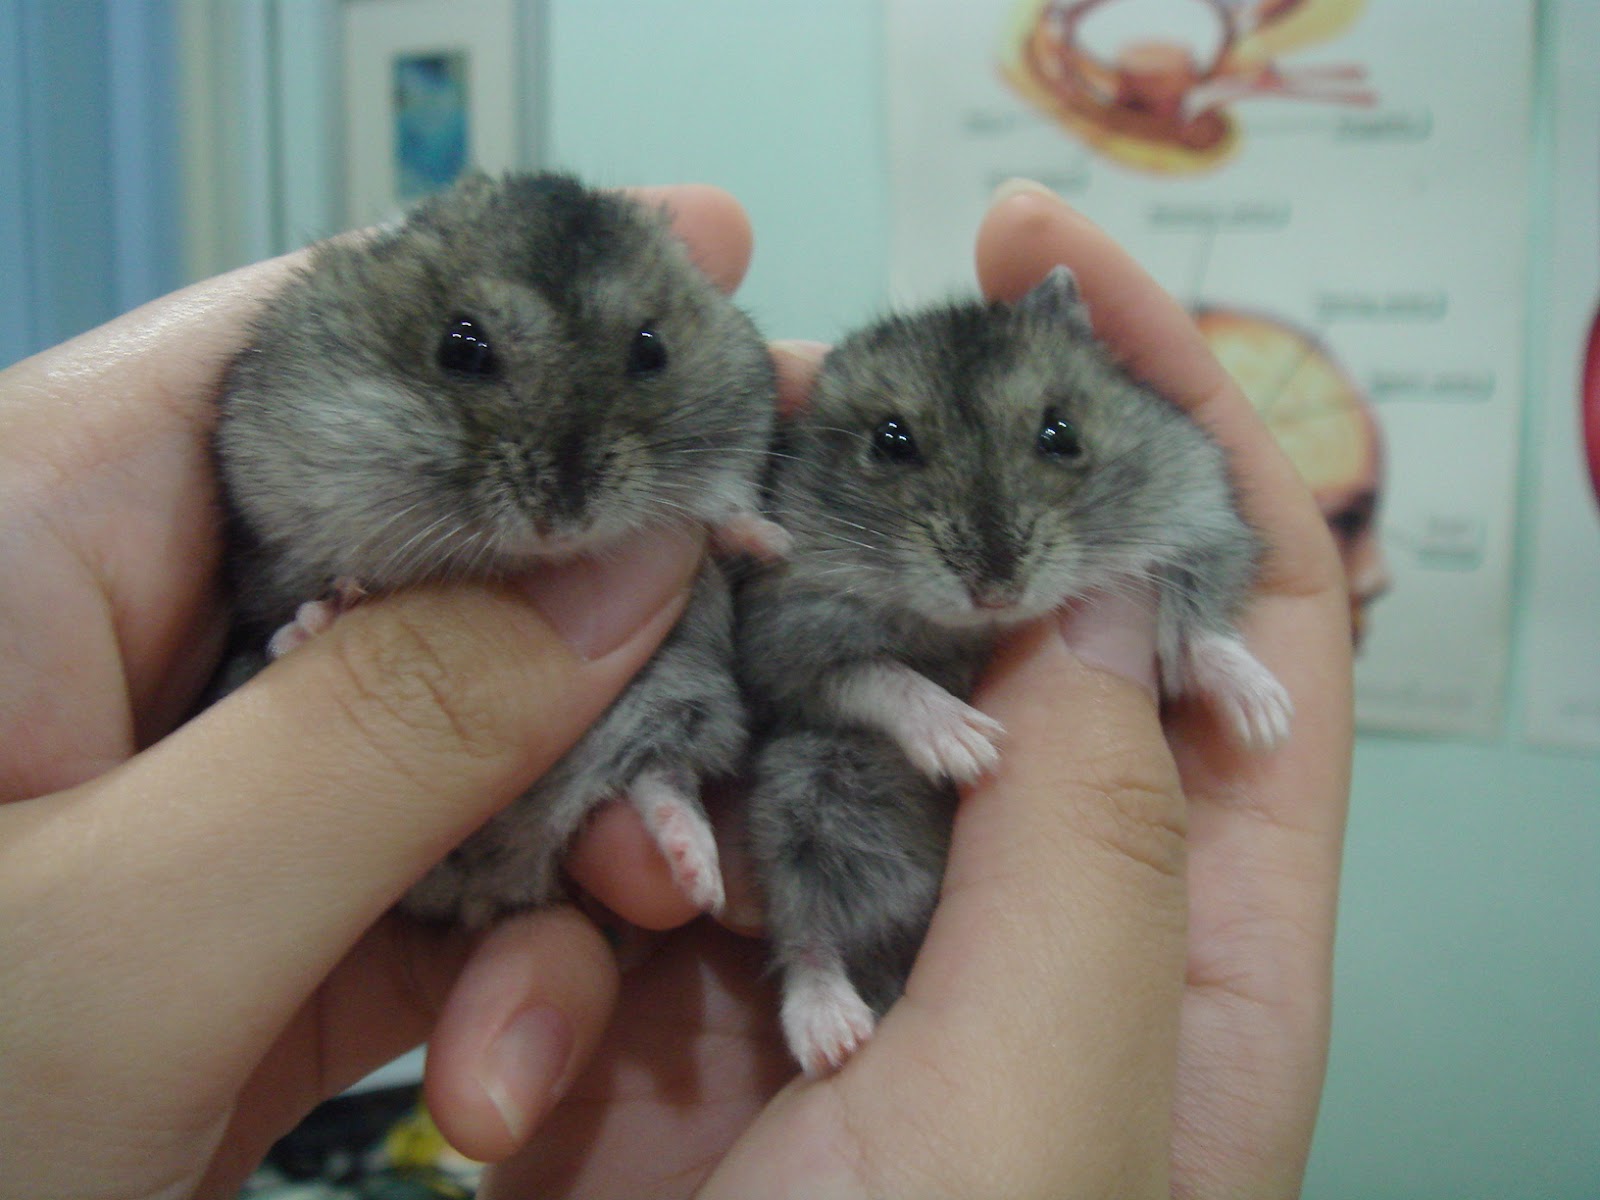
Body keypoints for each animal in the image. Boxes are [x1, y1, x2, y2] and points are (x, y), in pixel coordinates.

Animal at [214, 171, 786, 925]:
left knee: (656, 778)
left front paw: (771, 539)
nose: (565, 520)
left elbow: (723, 511)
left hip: (684, 706)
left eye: (652, 348)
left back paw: (698, 877)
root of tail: (486, 884)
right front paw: (323, 614)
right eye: (462, 346)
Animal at [736, 266, 1292, 1075]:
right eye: (890, 441)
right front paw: (973, 749)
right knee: (807, 925)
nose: (997, 590)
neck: (978, 633)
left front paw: (1268, 720)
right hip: (807, 798)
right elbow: (877, 675)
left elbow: (1200, 632)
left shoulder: (1202, 517)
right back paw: (833, 1037)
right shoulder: (783, 635)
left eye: (1061, 433)